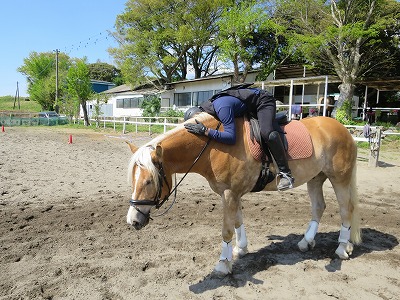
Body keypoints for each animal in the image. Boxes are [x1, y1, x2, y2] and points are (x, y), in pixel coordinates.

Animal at [126, 114, 360, 276]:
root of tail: (343, 129)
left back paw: (342, 247)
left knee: (346, 209)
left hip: (339, 178)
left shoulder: (230, 193)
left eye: (149, 181)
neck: (214, 147)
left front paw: (223, 264)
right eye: (133, 180)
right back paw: (307, 241)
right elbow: (238, 221)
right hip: (316, 178)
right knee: (319, 207)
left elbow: (227, 230)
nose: (133, 221)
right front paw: (241, 249)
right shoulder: (231, 193)